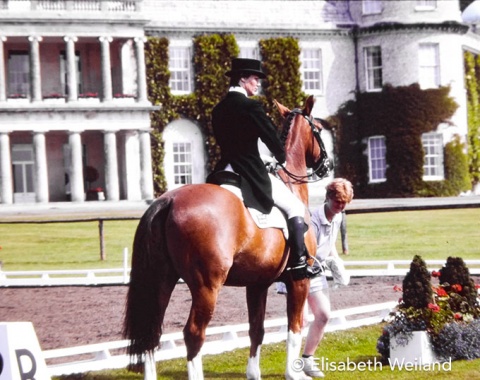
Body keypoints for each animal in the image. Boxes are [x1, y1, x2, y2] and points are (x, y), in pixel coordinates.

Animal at [122, 95, 328, 380]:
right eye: (318, 128)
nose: (327, 165)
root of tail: (168, 200)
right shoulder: (298, 281)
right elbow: (295, 326)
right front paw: (293, 373)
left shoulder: (257, 284)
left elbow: (256, 330)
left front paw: (253, 373)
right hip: (207, 286)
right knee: (193, 333)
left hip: (162, 279)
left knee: (153, 331)